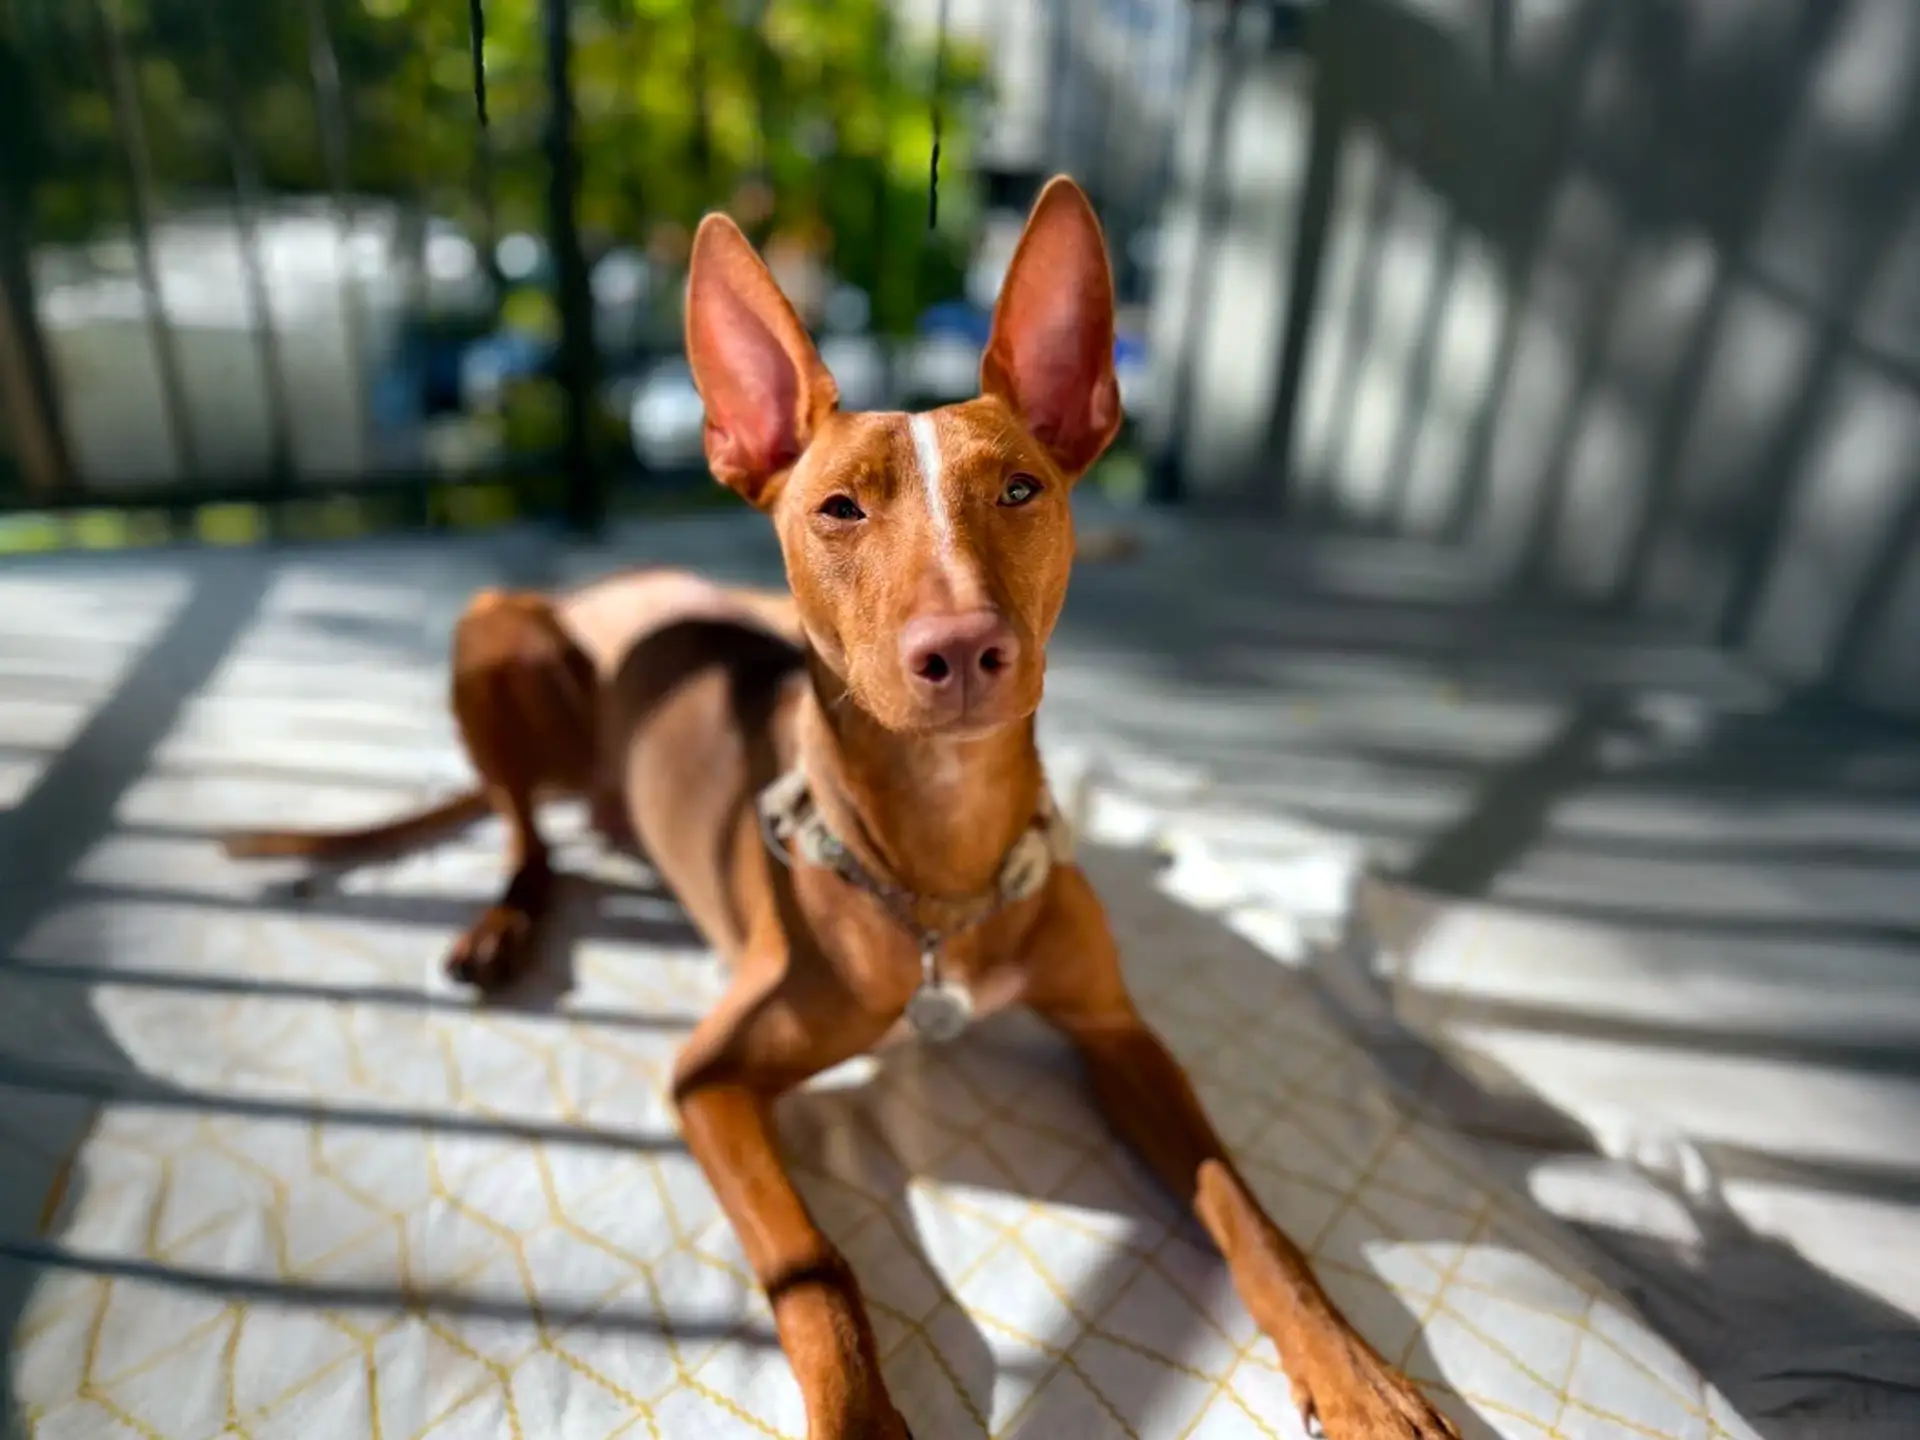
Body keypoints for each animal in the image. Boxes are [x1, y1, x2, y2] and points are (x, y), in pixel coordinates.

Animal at [224, 174, 1451, 1436]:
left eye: (1021, 489)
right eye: (840, 509)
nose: (962, 649)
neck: (938, 868)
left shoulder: (1119, 1033)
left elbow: (1243, 1206)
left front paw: (1354, 1371)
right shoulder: (710, 1080)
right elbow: (817, 1268)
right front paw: (860, 1415)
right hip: (495, 627)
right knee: (526, 831)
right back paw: (504, 920)